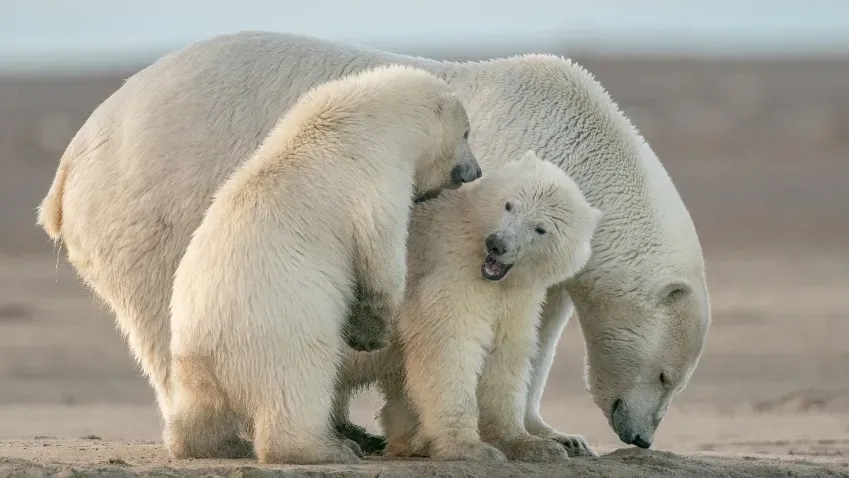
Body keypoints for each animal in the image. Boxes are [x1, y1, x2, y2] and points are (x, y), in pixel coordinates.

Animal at [163, 65, 480, 464]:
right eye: (466, 133)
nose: (475, 172)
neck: (365, 118)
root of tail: (210, 348)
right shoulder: (376, 179)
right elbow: (381, 255)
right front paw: (370, 333)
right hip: (283, 331)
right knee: (300, 384)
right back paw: (329, 448)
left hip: (189, 360)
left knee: (196, 409)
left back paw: (214, 444)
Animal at [362, 150, 600, 464]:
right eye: (509, 205)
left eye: (541, 228)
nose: (497, 243)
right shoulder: (451, 273)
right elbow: (450, 347)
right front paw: (468, 447)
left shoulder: (516, 299)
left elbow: (504, 355)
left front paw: (530, 444)